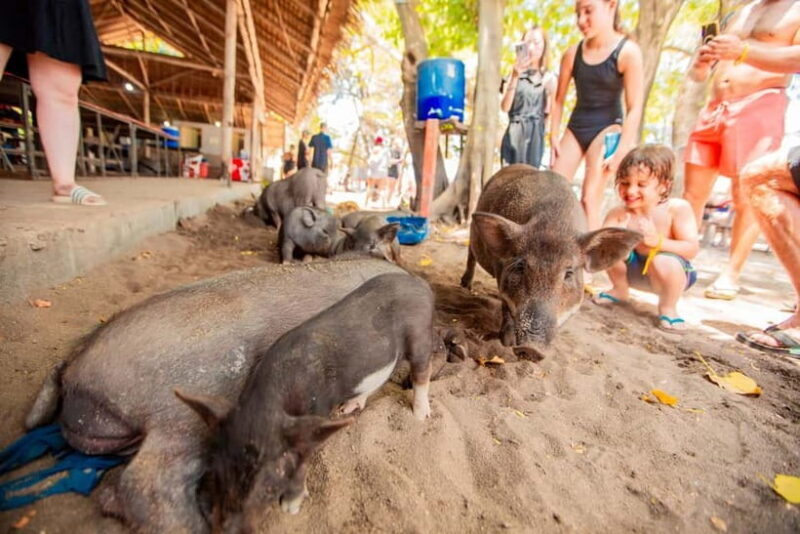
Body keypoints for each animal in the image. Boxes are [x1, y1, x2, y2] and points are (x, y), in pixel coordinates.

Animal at [176, 272, 434, 531]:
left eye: (269, 487)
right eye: (218, 474)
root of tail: (420, 283)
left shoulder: (315, 415)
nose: (230, 529)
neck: (267, 405)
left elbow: (304, 461)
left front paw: (291, 508)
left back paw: (421, 416)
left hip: (420, 334)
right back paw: (348, 408)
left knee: (422, 371)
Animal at [460, 165, 641, 356]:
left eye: (568, 273)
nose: (530, 348)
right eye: (521, 267)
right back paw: (465, 285)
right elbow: (506, 308)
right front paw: (507, 344)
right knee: (471, 254)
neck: (553, 226)